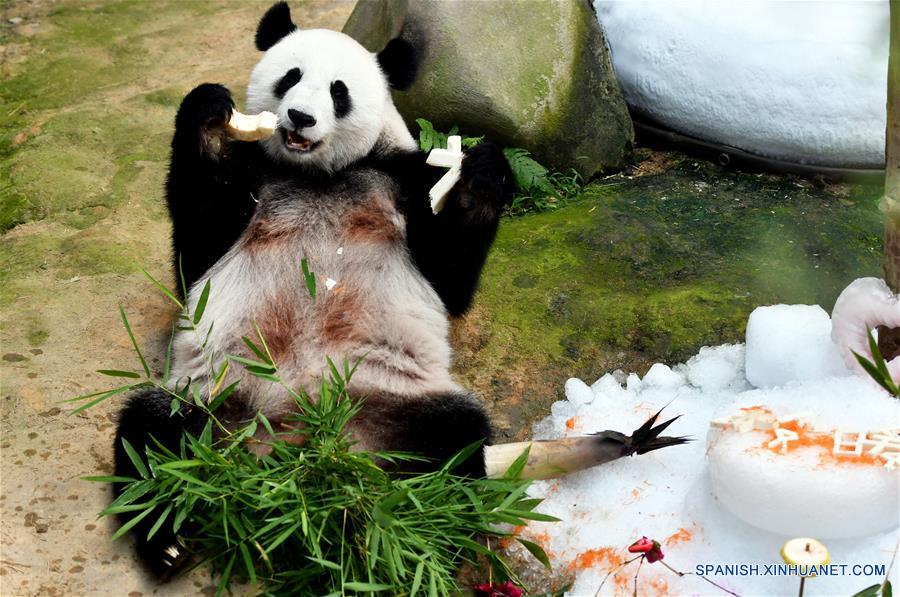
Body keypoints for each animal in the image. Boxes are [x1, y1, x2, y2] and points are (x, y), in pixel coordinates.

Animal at [113, 1, 516, 577]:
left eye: (338, 91)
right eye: (291, 77)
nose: (300, 118)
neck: (317, 174)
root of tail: (300, 446)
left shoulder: (399, 179)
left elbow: (450, 279)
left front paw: (482, 172)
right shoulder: (253, 181)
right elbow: (196, 252)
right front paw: (210, 113)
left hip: (394, 398)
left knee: (455, 444)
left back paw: (423, 539)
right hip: (209, 398)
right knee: (150, 437)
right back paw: (168, 534)